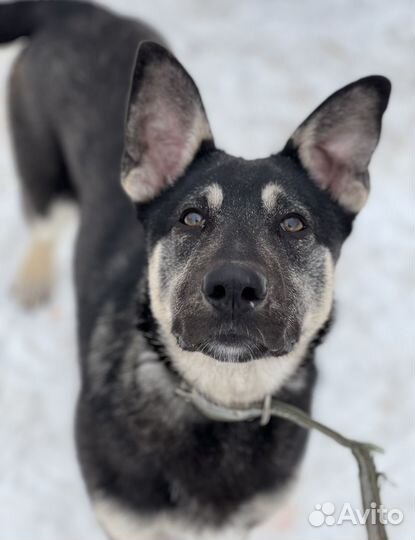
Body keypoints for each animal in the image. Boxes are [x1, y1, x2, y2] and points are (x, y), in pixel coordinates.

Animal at [0, 1, 392, 540]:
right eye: (191, 218)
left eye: (294, 223)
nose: (234, 287)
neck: (219, 397)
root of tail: (73, 11)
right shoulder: (124, 522)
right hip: (45, 176)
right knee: (43, 223)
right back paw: (33, 280)